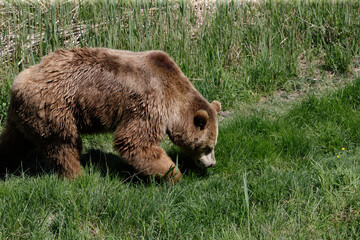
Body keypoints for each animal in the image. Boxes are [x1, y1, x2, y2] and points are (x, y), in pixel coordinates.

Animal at [0, 47, 221, 182]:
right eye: (207, 147)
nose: (212, 164)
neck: (173, 96)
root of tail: (18, 83)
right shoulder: (149, 102)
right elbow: (135, 141)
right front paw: (173, 174)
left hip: (23, 116)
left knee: (14, 142)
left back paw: (5, 165)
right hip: (56, 108)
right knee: (64, 145)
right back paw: (77, 176)